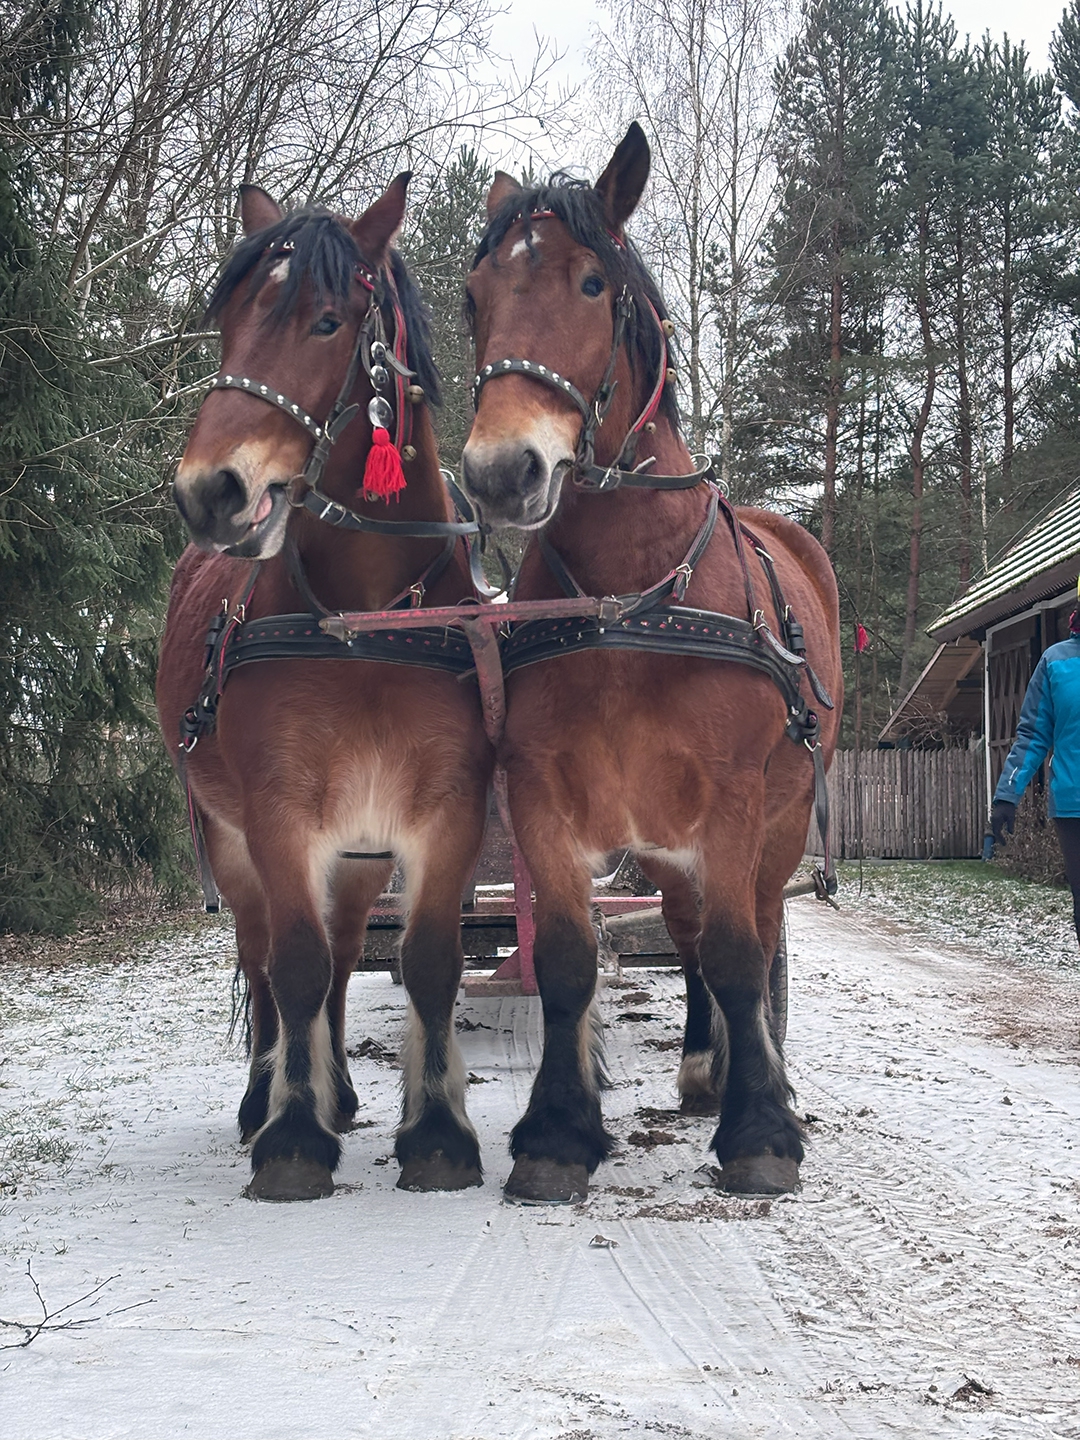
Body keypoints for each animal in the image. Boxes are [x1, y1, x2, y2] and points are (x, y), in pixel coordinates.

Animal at [157, 175, 493, 1201]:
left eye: (328, 320)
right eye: (229, 322)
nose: (209, 491)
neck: (364, 623)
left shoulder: (440, 814)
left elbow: (424, 964)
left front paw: (437, 1135)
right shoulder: (276, 814)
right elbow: (294, 967)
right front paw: (292, 1136)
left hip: (358, 854)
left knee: (347, 959)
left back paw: (339, 1091)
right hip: (230, 840)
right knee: (267, 959)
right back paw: (267, 1099)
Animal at [461, 123, 842, 1203]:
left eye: (593, 284)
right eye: (472, 296)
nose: (502, 473)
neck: (627, 599)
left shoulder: (734, 798)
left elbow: (743, 951)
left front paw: (762, 1129)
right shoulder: (545, 795)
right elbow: (567, 961)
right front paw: (557, 1132)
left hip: (777, 818)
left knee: (749, 929)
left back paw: (758, 1073)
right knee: (687, 932)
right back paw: (708, 1061)